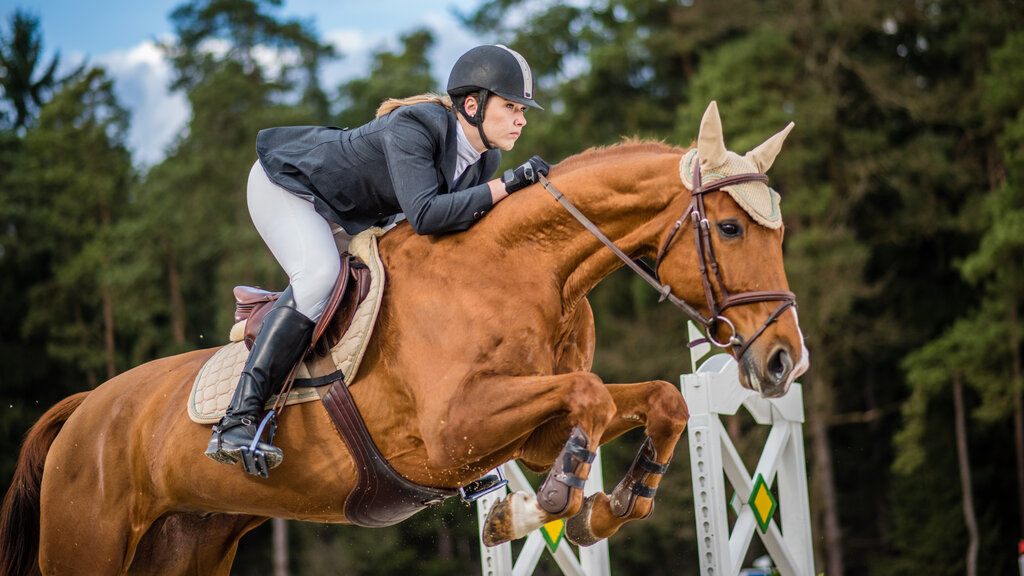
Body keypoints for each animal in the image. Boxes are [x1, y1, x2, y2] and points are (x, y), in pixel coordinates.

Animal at [0, 100, 806, 569]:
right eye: (730, 228)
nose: (782, 363)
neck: (531, 269)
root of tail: (84, 410)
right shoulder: (455, 431)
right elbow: (593, 397)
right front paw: (544, 504)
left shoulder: (528, 430)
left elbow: (655, 399)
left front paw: (612, 502)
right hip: (90, 543)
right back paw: (236, 433)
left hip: (186, 544)